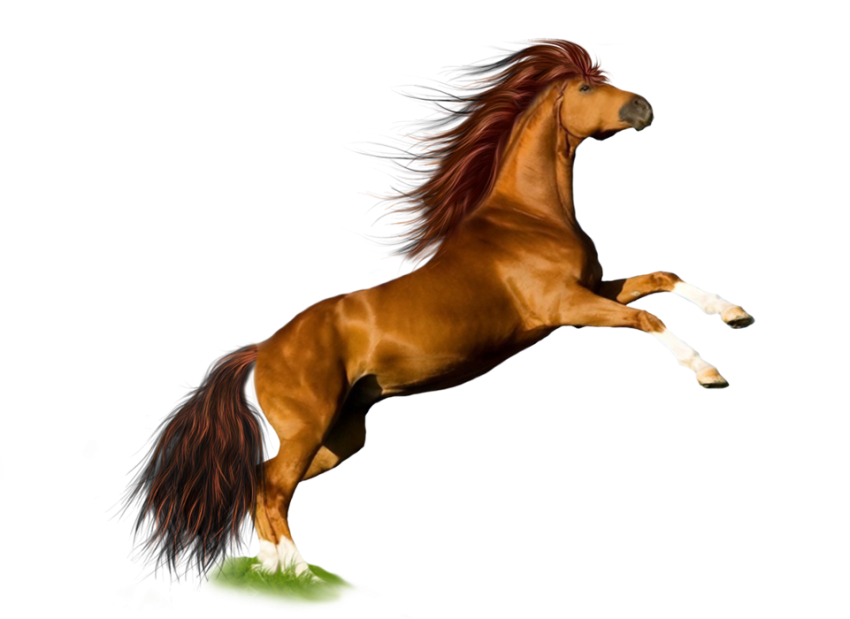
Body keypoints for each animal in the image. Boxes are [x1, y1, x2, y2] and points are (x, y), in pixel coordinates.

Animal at [106, 38, 755, 593]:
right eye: (587, 88)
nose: (644, 107)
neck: (528, 218)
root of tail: (261, 349)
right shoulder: (567, 307)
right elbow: (650, 321)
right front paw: (710, 373)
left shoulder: (596, 288)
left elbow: (663, 279)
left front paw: (737, 314)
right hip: (308, 428)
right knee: (270, 488)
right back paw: (301, 576)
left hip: (341, 438)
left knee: (263, 489)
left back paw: (275, 573)